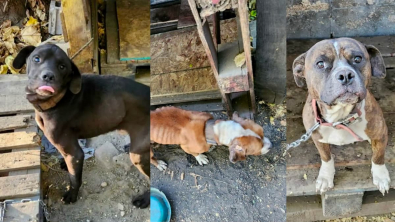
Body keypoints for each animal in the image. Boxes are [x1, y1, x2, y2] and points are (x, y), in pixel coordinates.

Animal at [13, 44, 150, 208]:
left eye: (62, 67)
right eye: (36, 58)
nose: (48, 76)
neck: (60, 99)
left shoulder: (75, 154)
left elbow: (74, 178)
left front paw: (72, 195)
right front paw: (64, 164)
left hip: (138, 156)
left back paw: (145, 199)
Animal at [294, 37, 390, 194]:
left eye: (358, 59)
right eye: (320, 63)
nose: (345, 75)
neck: (339, 119)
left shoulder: (380, 135)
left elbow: (378, 156)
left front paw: (381, 176)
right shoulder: (317, 138)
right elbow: (326, 157)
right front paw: (325, 177)